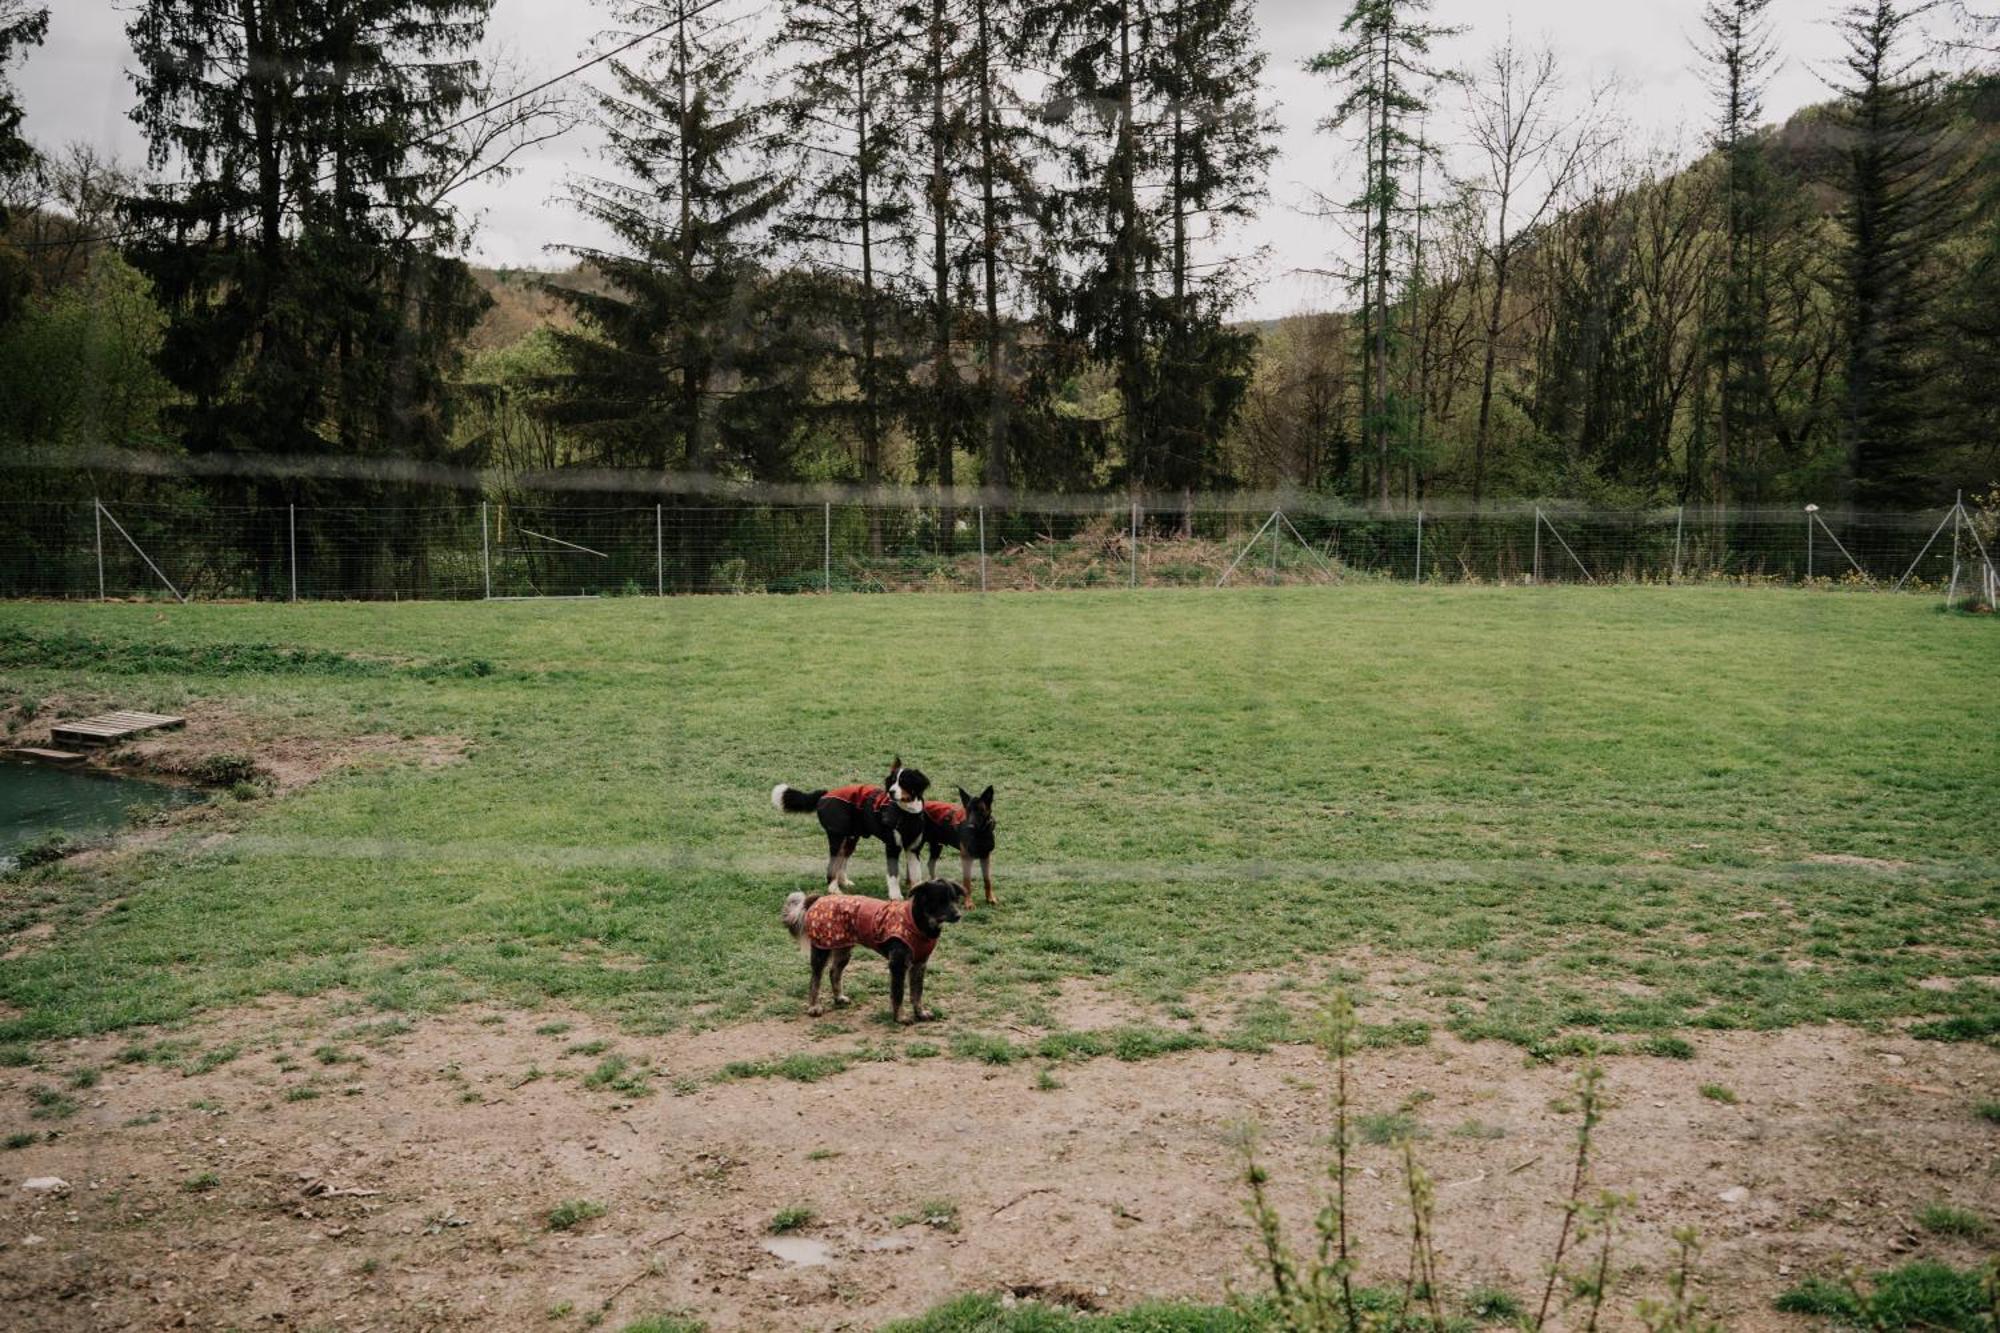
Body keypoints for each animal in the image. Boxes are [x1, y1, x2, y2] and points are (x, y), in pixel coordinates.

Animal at [768, 756, 932, 892]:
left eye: (904, 782)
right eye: (892, 781)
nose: (891, 792)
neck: (906, 813)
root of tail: (825, 794)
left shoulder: (913, 848)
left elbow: (916, 875)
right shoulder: (892, 846)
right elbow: (893, 876)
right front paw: (896, 898)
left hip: (850, 838)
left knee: (841, 860)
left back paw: (843, 882)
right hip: (836, 837)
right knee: (832, 865)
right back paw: (834, 889)